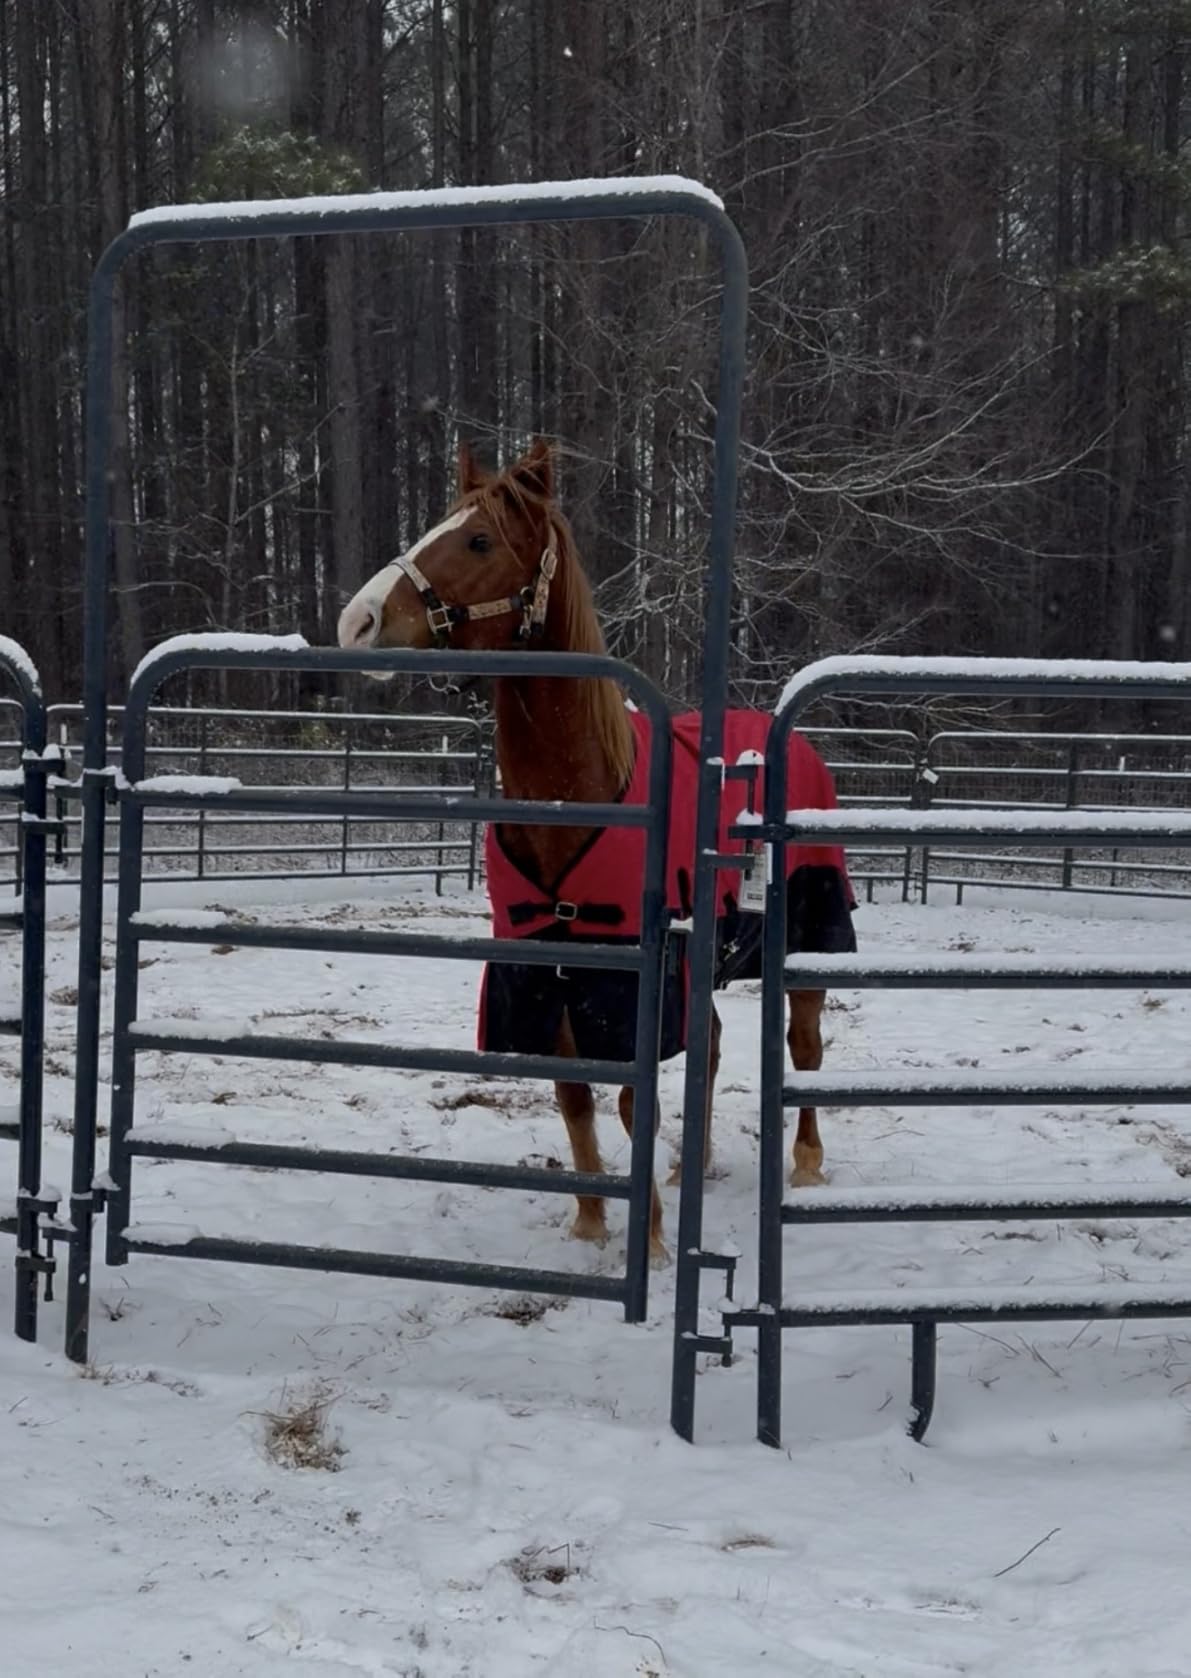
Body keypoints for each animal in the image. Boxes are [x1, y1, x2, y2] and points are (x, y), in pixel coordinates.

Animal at [337, 439, 856, 1261]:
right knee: (711, 1047)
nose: (356, 621)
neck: (578, 794)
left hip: (808, 940)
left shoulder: (632, 984)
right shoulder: (547, 971)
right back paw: (691, 1166)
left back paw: (804, 1165)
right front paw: (590, 1221)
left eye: (478, 541)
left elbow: (630, 1098)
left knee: (803, 1050)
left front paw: (650, 1239)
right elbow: (575, 1097)